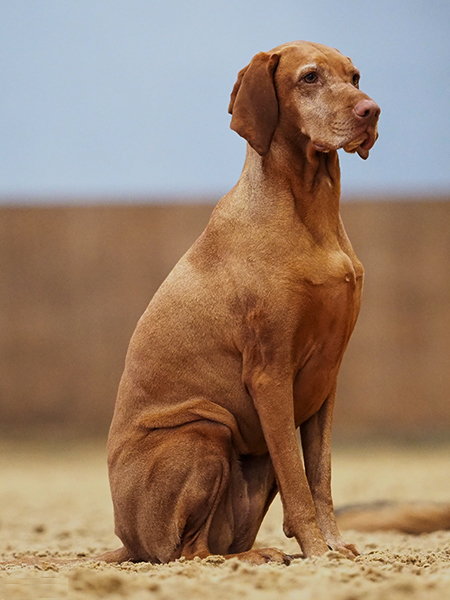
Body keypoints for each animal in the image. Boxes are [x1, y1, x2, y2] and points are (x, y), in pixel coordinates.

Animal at [103, 40, 380, 566]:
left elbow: (319, 477)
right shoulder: (270, 374)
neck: (311, 212)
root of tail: (129, 540)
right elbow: (298, 483)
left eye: (354, 77)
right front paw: (317, 551)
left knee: (213, 541)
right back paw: (256, 557)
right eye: (310, 77)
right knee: (187, 551)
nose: (371, 111)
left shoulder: (326, 379)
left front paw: (334, 546)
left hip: (252, 455)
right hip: (206, 430)